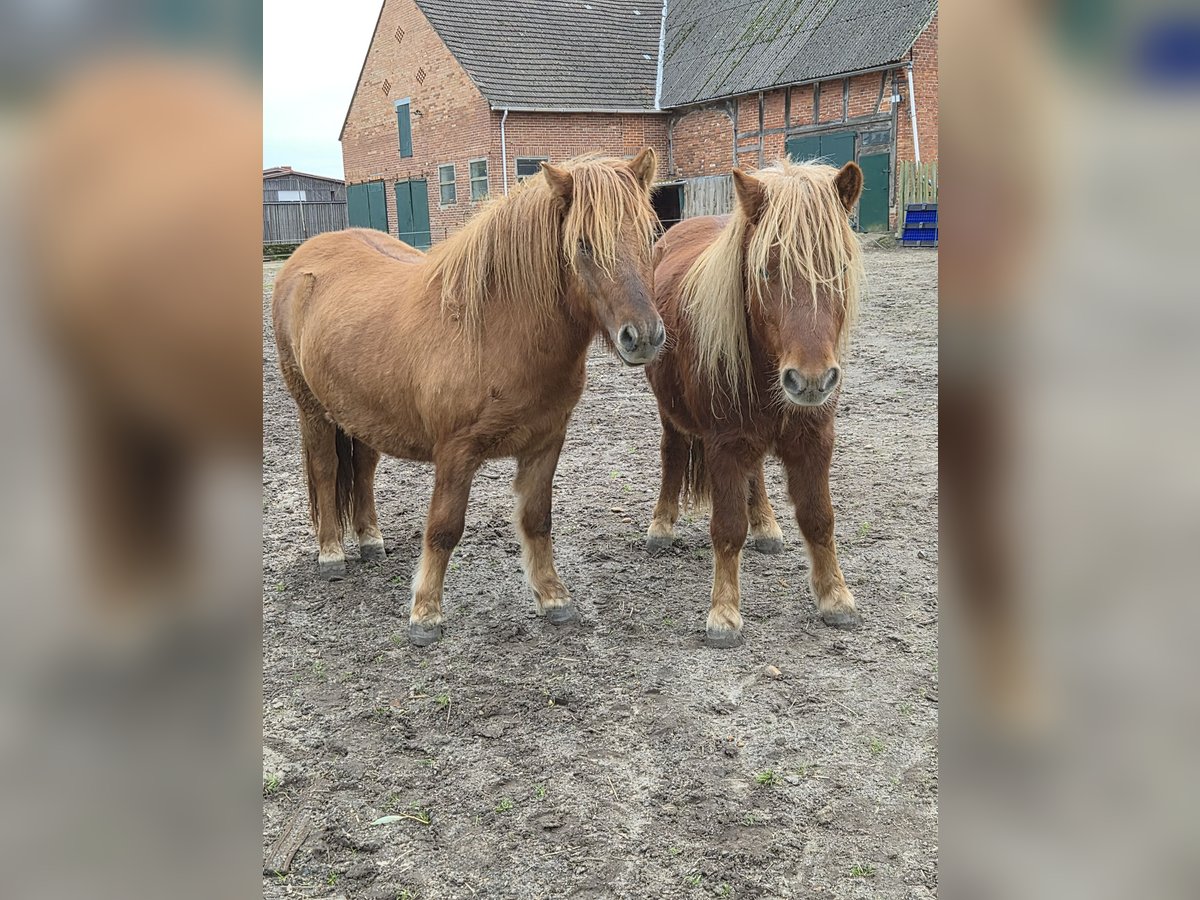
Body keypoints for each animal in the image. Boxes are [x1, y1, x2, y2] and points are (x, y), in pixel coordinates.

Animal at [271, 150, 664, 646]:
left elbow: (537, 519)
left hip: (360, 414)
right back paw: (331, 554)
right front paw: (425, 613)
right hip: (313, 410)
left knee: (362, 470)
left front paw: (553, 597)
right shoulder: (456, 452)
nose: (644, 337)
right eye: (583, 245)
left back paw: (370, 541)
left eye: (650, 236)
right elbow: (443, 528)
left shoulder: (546, 443)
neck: (494, 330)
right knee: (325, 472)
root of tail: (303, 258)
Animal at [643, 159, 865, 647]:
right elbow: (727, 529)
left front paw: (835, 598)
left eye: (840, 266)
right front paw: (724, 613)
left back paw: (766, 524)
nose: (811, 380)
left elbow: (819, 518)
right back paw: (661, 526)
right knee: (672, 454)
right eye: (765, 271)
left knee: (757, 472)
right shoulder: (724, 445)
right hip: (671, 414)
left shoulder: (815, 439)